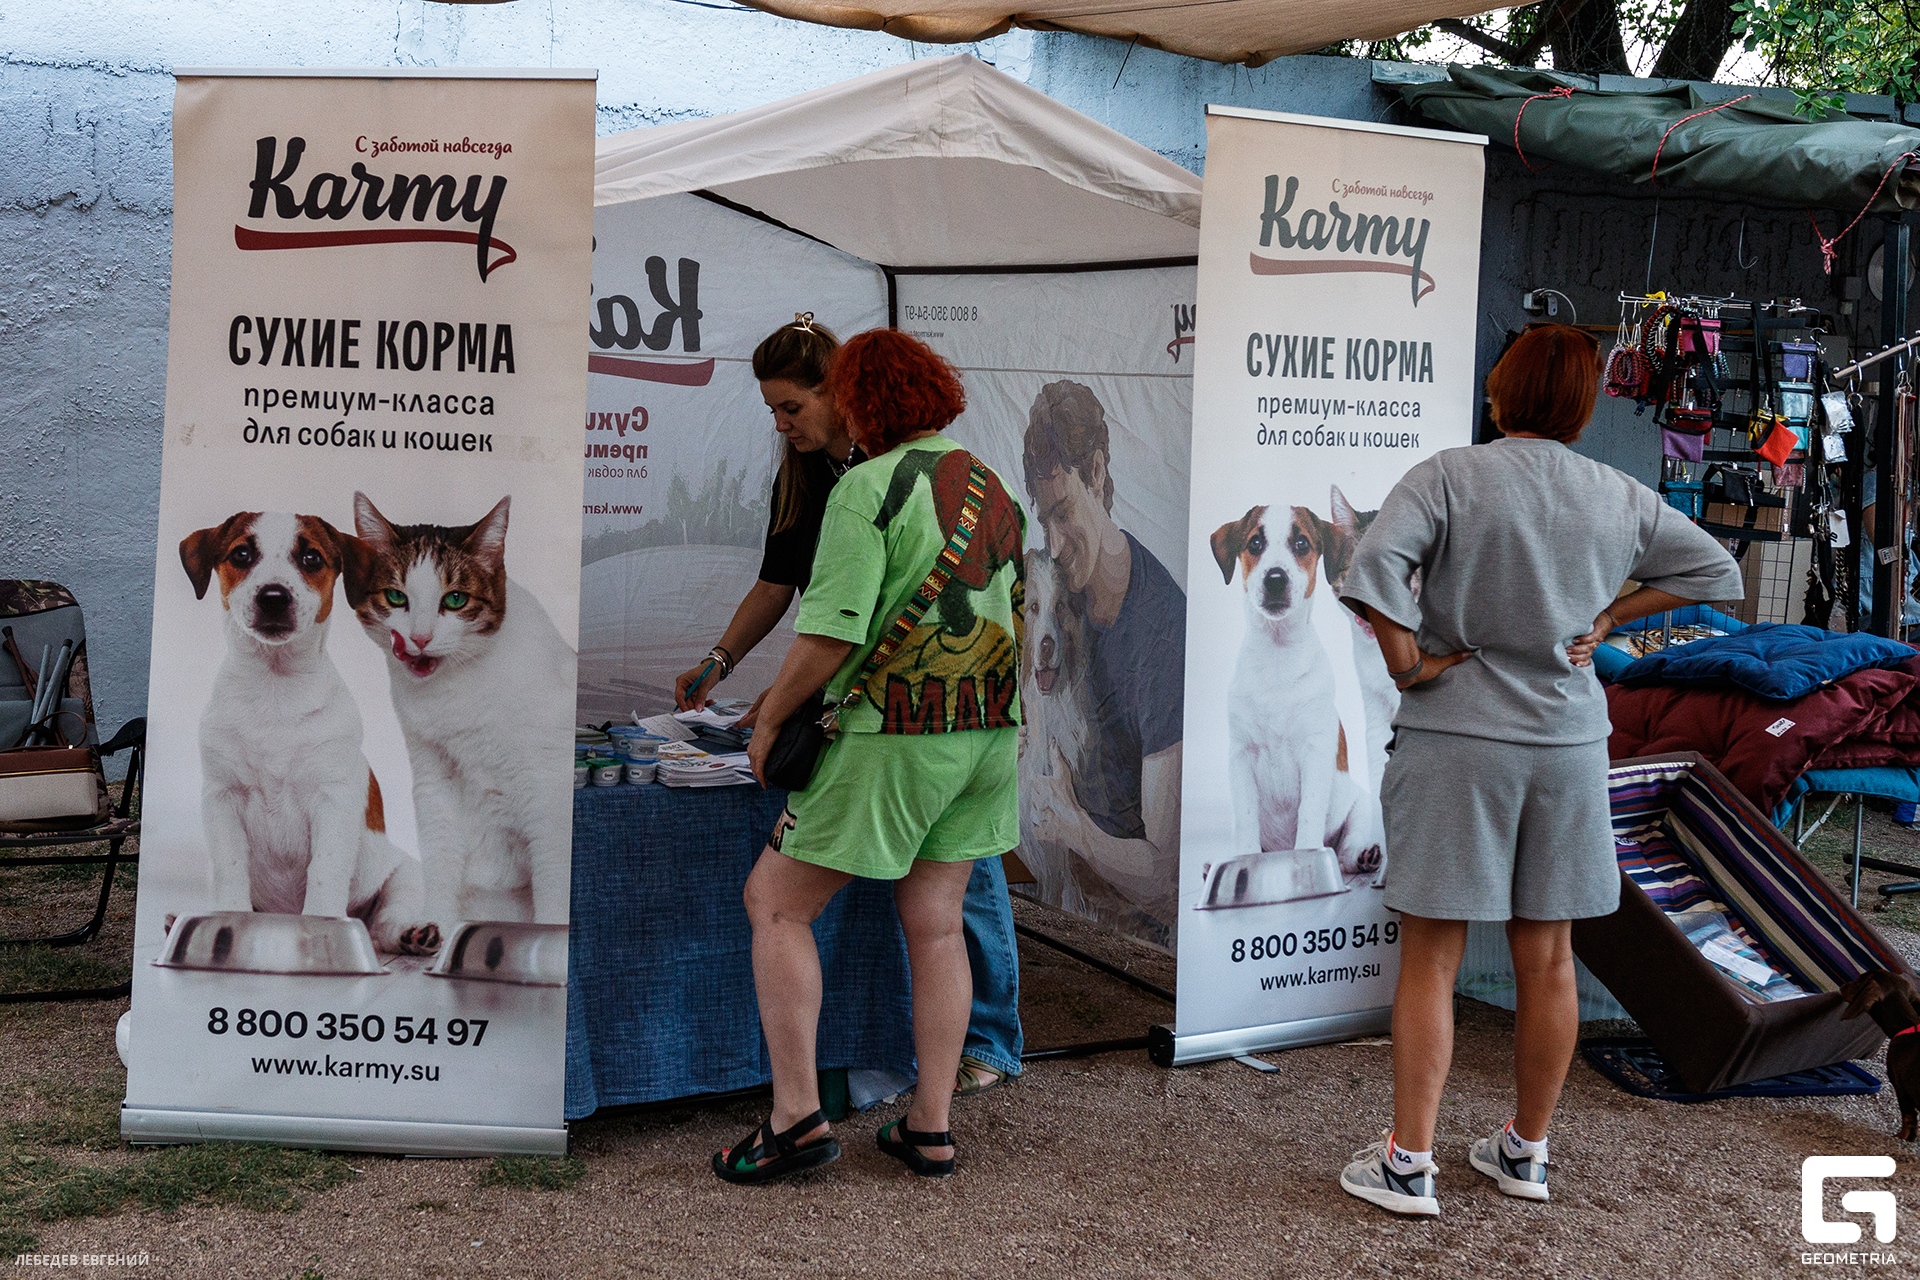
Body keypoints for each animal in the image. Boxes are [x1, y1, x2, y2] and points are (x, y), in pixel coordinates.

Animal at [180, 511, 440, 955]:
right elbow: (231, 867)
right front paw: (227, 923)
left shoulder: (333, 800)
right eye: (241, 554)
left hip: (404, 876)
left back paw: (412, 934)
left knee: (383, 925)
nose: (273, 596)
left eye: (311, 558)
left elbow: (325, 871)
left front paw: (322, 926)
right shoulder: (221, 797)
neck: (275, 686)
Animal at [347, 492, 576, 927]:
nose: (419, 638)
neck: (456, 695)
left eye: (455, 600)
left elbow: (554, 886)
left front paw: (551, 938)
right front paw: (434, 928)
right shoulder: (433, 781)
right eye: (396, 597)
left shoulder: (548, 792)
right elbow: (440, 865)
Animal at [1211, 504, 1381, 877]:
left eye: (1301, 543)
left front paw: (1307, 858)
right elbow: (1246, 820)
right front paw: (1244, 863)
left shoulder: (1315, 752)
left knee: (1345, 850)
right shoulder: (1241, 756)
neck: (1277, 655)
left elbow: (1309, 813)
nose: (1275, 578)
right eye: (1255, 543)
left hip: (1359, 807)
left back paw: (1362, 857)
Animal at [1839, 968, 1920, 1140]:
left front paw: (1901, 1137)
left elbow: (1908, 1118)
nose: (1843, 985)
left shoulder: (1900, 1085)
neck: (1907, 1025)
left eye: (1859, 981)